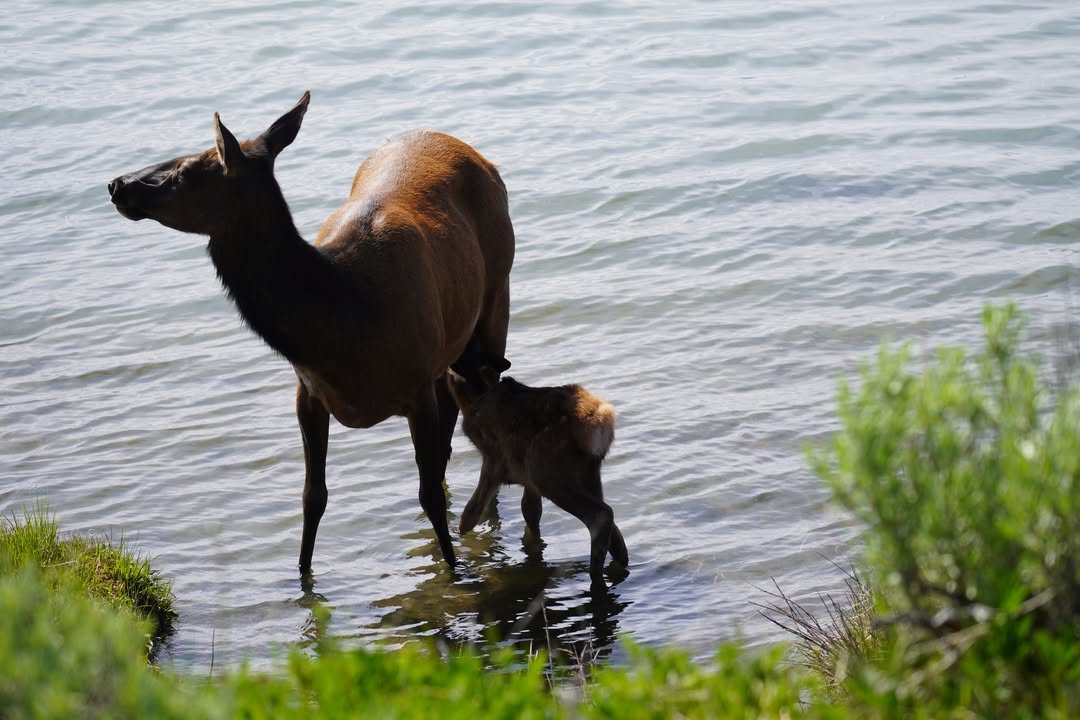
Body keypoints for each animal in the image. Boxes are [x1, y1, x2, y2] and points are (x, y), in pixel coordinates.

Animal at [107, 91, 515, 578]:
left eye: (188, 170)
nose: (117, 184)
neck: (343, 323)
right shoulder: (308, 393)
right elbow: (312, 497)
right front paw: (300, 578)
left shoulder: (417, 388)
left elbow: (429, 493)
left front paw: (454, 574)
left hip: (498, 296)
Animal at [446, 367, 628, 582]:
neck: (473, 398)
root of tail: (598, 423)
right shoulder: (526, 479)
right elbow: (530, 510)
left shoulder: (493, 459)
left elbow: (471, 513)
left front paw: (459, 537)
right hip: (587, 473)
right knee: (611, 520)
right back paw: (621, 563)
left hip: (544, 470)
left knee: (600, 514)